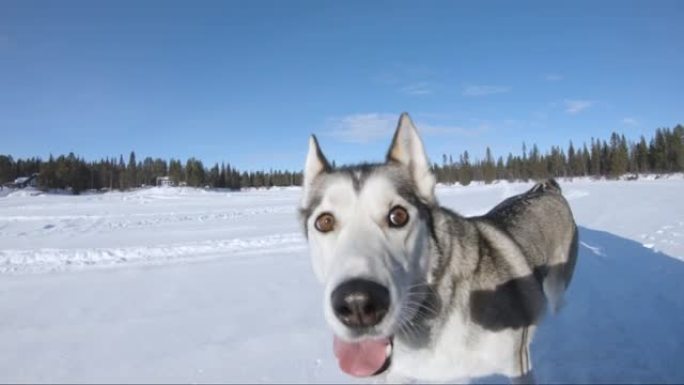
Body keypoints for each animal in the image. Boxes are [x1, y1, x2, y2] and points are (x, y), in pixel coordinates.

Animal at [300, 112, 576, 382]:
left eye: (398, 216)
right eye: (324, 222)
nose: (357, 303)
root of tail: (547, 189)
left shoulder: (516, 365)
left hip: (556, 287)